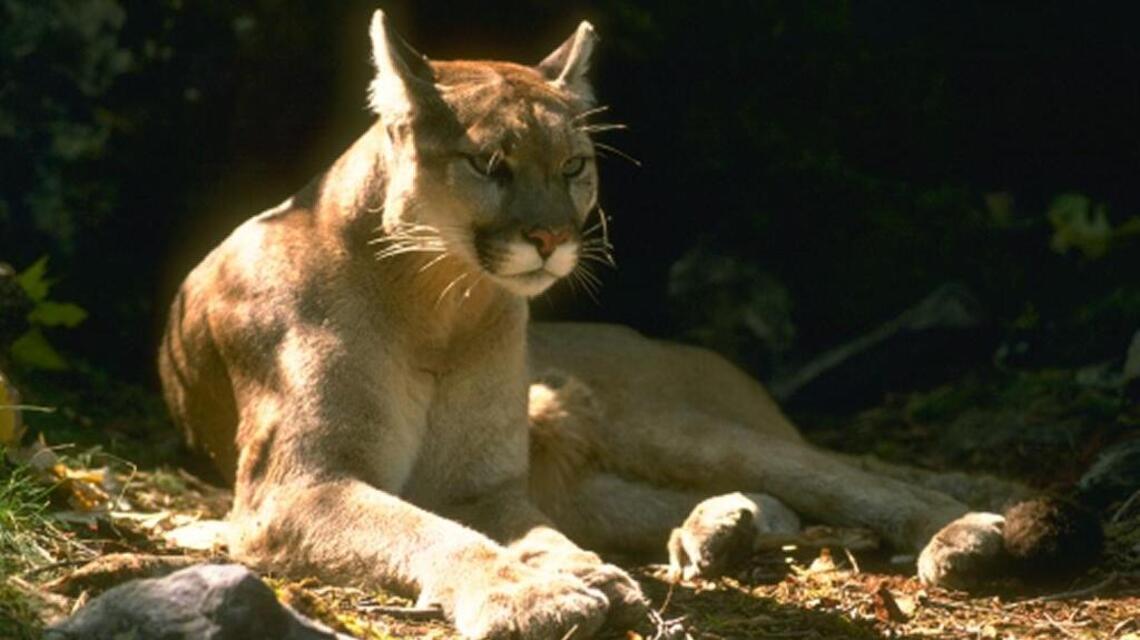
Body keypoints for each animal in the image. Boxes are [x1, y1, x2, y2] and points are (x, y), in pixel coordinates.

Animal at [160, 10, 1035, 638]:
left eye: (574, 166)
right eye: (489, 164)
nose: (550, 238)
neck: (440, 304)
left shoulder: (479, 484)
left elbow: (507, 532)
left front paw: (574, 579)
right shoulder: (297, 486)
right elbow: (431, 532)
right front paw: (542, 592)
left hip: (653, 419)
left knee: (847, 476)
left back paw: (958, 534)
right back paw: (718, 531)